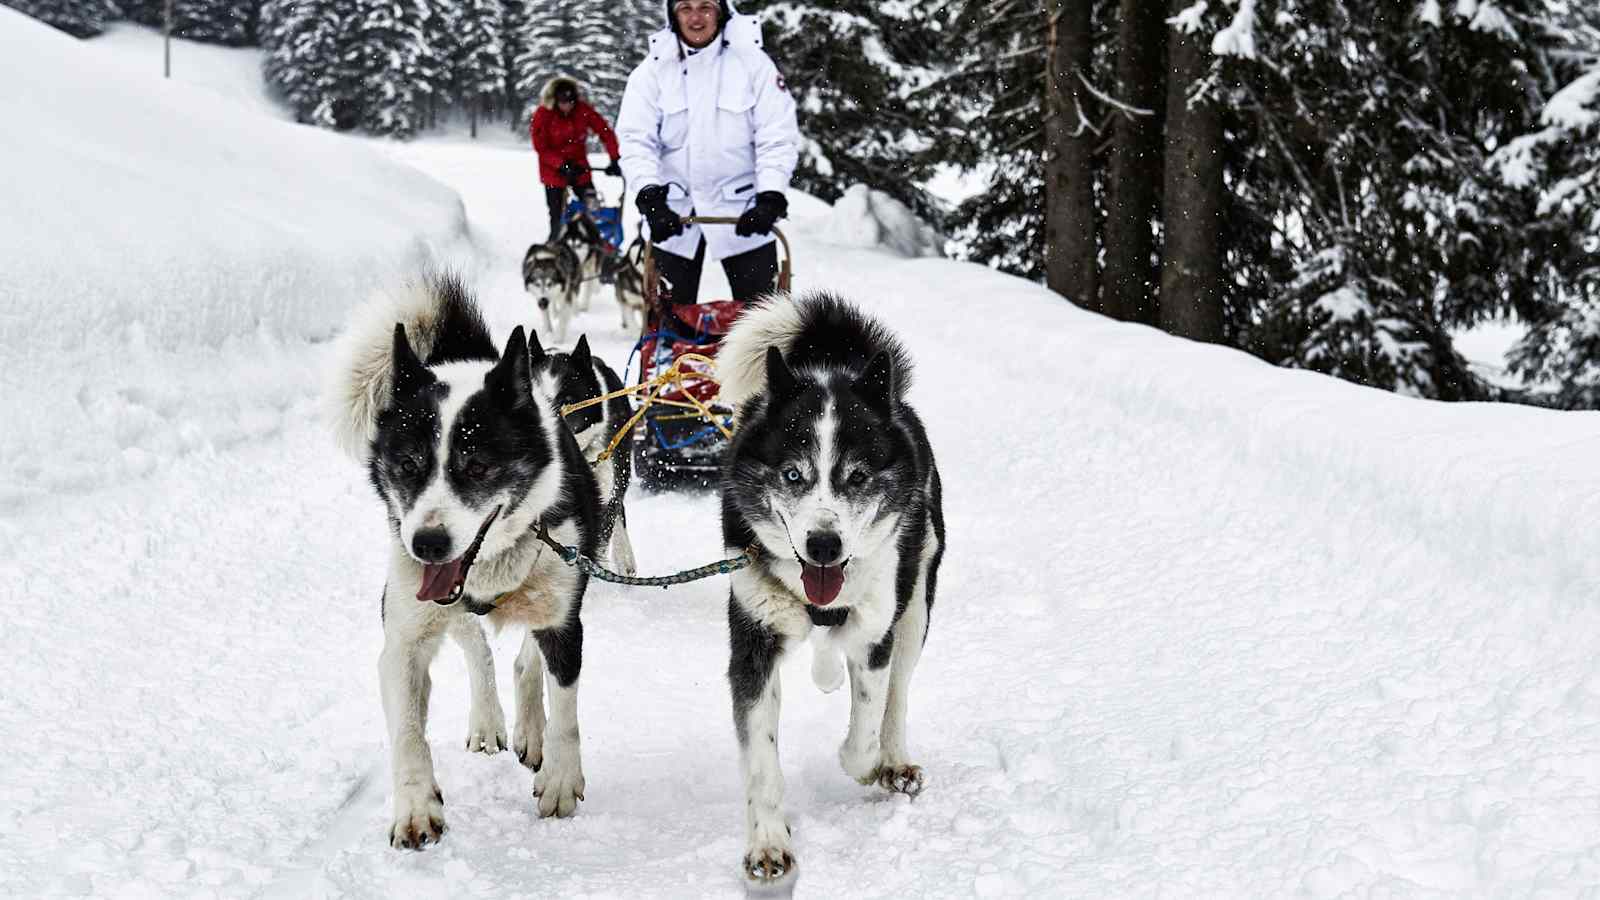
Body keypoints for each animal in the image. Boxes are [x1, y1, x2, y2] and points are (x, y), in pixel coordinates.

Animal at [326, 269, 601, 845]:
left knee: (525, 659)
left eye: (477, 467)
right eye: (408, 465)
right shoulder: (404, 639)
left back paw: (529, 729)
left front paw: (561, 778)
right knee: (477, 646)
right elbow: (409, 731)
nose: (427, 544)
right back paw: (490, 720)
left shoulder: (564, 619)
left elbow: (565, 704)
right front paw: (415, 806)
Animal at [716, 293, 940, 883]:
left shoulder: (876, 633)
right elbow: (762, 758)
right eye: (793, 475)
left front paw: (863, 764)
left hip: (915, 611)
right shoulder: (754, 644)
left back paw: (893, 760)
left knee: (897, 694)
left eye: (857, 476)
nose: (823, 544)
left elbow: (864, 729)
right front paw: (768, 843)